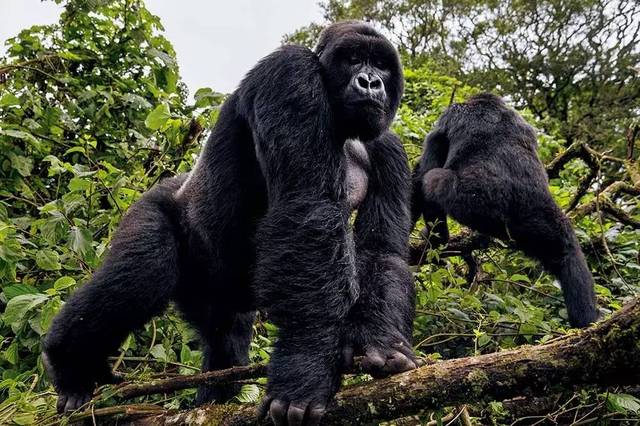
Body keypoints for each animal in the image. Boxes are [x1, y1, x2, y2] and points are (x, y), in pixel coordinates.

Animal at [42, 20, 418, 426]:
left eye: (380, 64)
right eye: (352, 59)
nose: (370, 82)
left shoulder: (389, 149)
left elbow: (381, 251)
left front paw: (380, 341)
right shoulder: (288, 73)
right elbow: (308, 212)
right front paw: (305, 368)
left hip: (214, 293)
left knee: (226, 340)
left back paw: (210, 401)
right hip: (152, 206)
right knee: (140, 276)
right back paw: (68, 365)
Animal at [412, 93, 596, 328]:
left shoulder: (447, 119)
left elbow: (423, 169)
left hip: (471, 200)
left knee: (431, 179)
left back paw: (437, 239)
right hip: (542, 220)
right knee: (568, 252)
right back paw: (588, 322)